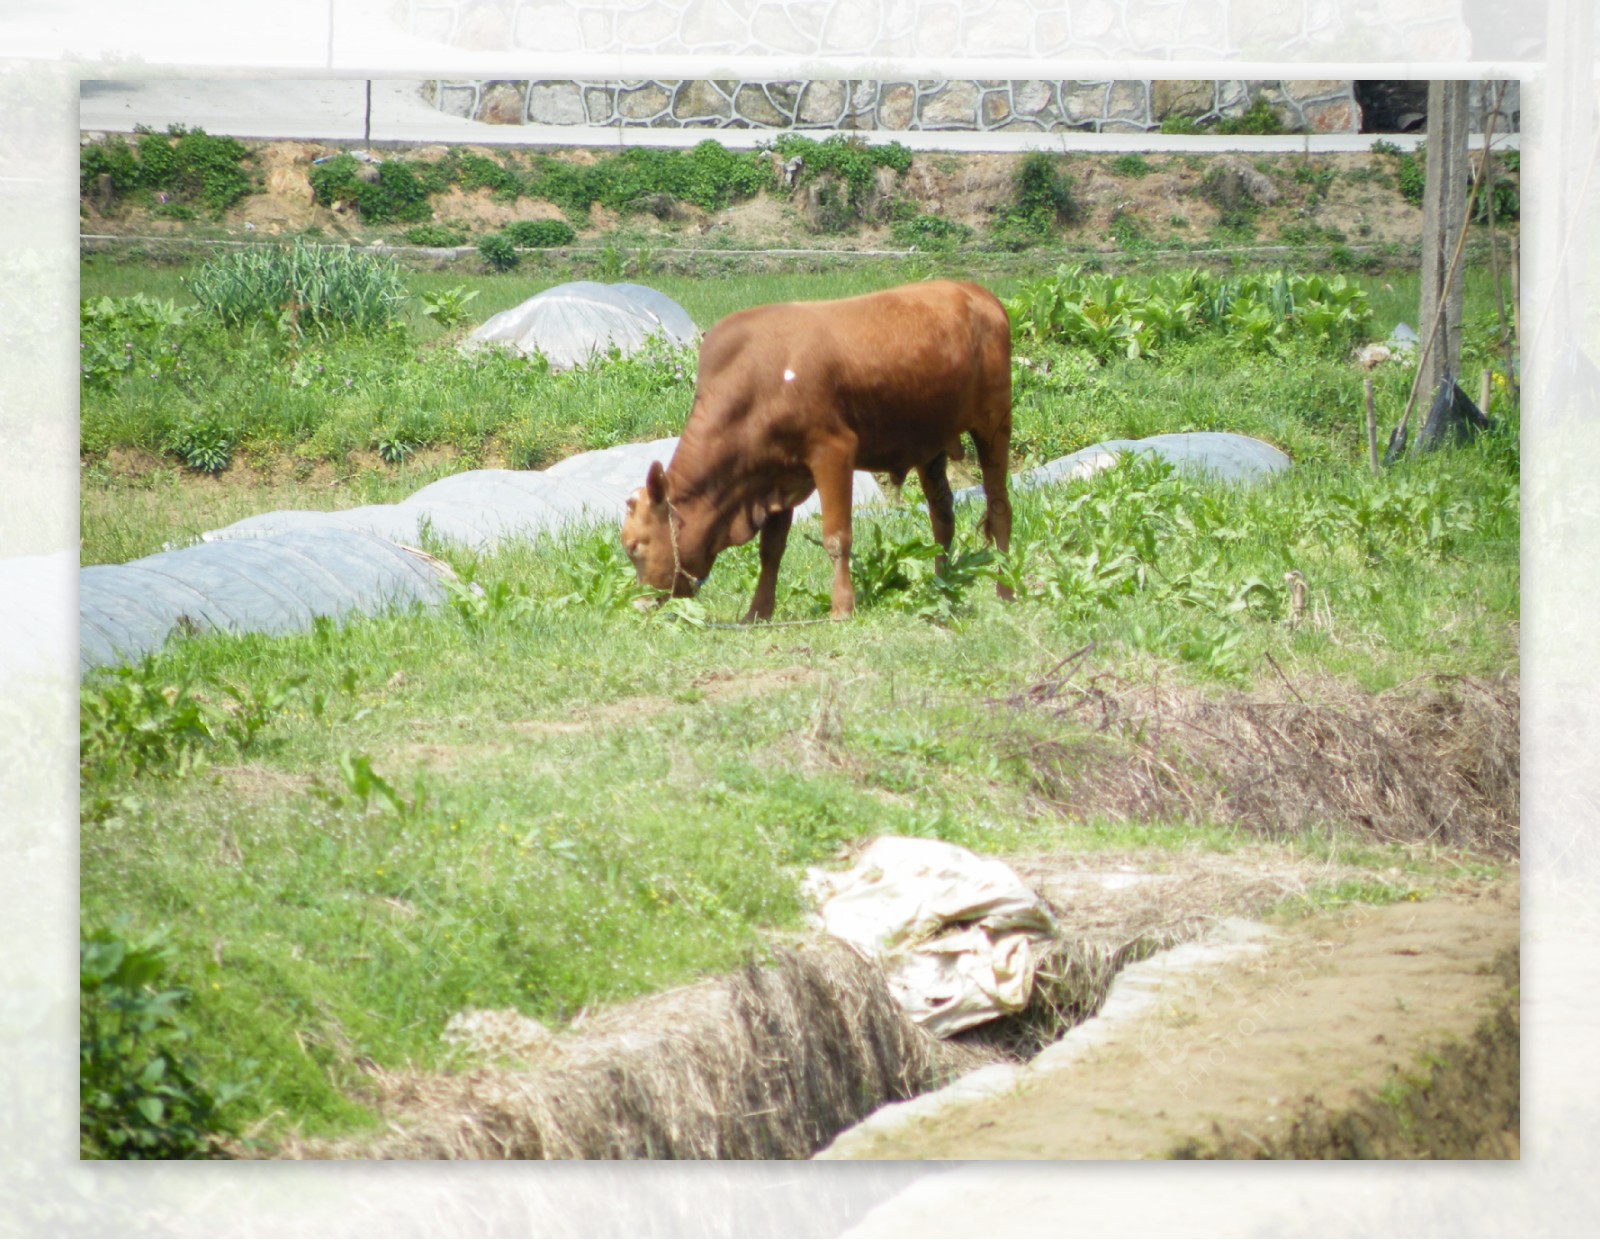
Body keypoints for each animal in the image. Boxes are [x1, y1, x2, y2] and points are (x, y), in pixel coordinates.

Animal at [617, 286, 1004, 627]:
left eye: (634, 547)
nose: (638, 605)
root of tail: (976, 292)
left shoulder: (833, 451)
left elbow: (836, 537)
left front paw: (842, 608)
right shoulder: (775, 474)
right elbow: (770, 550)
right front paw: (757, 613)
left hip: (992, 423)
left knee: (999, 509)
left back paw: (1006, 590)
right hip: (931, 445)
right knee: (942, 515)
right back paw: (942, 587)